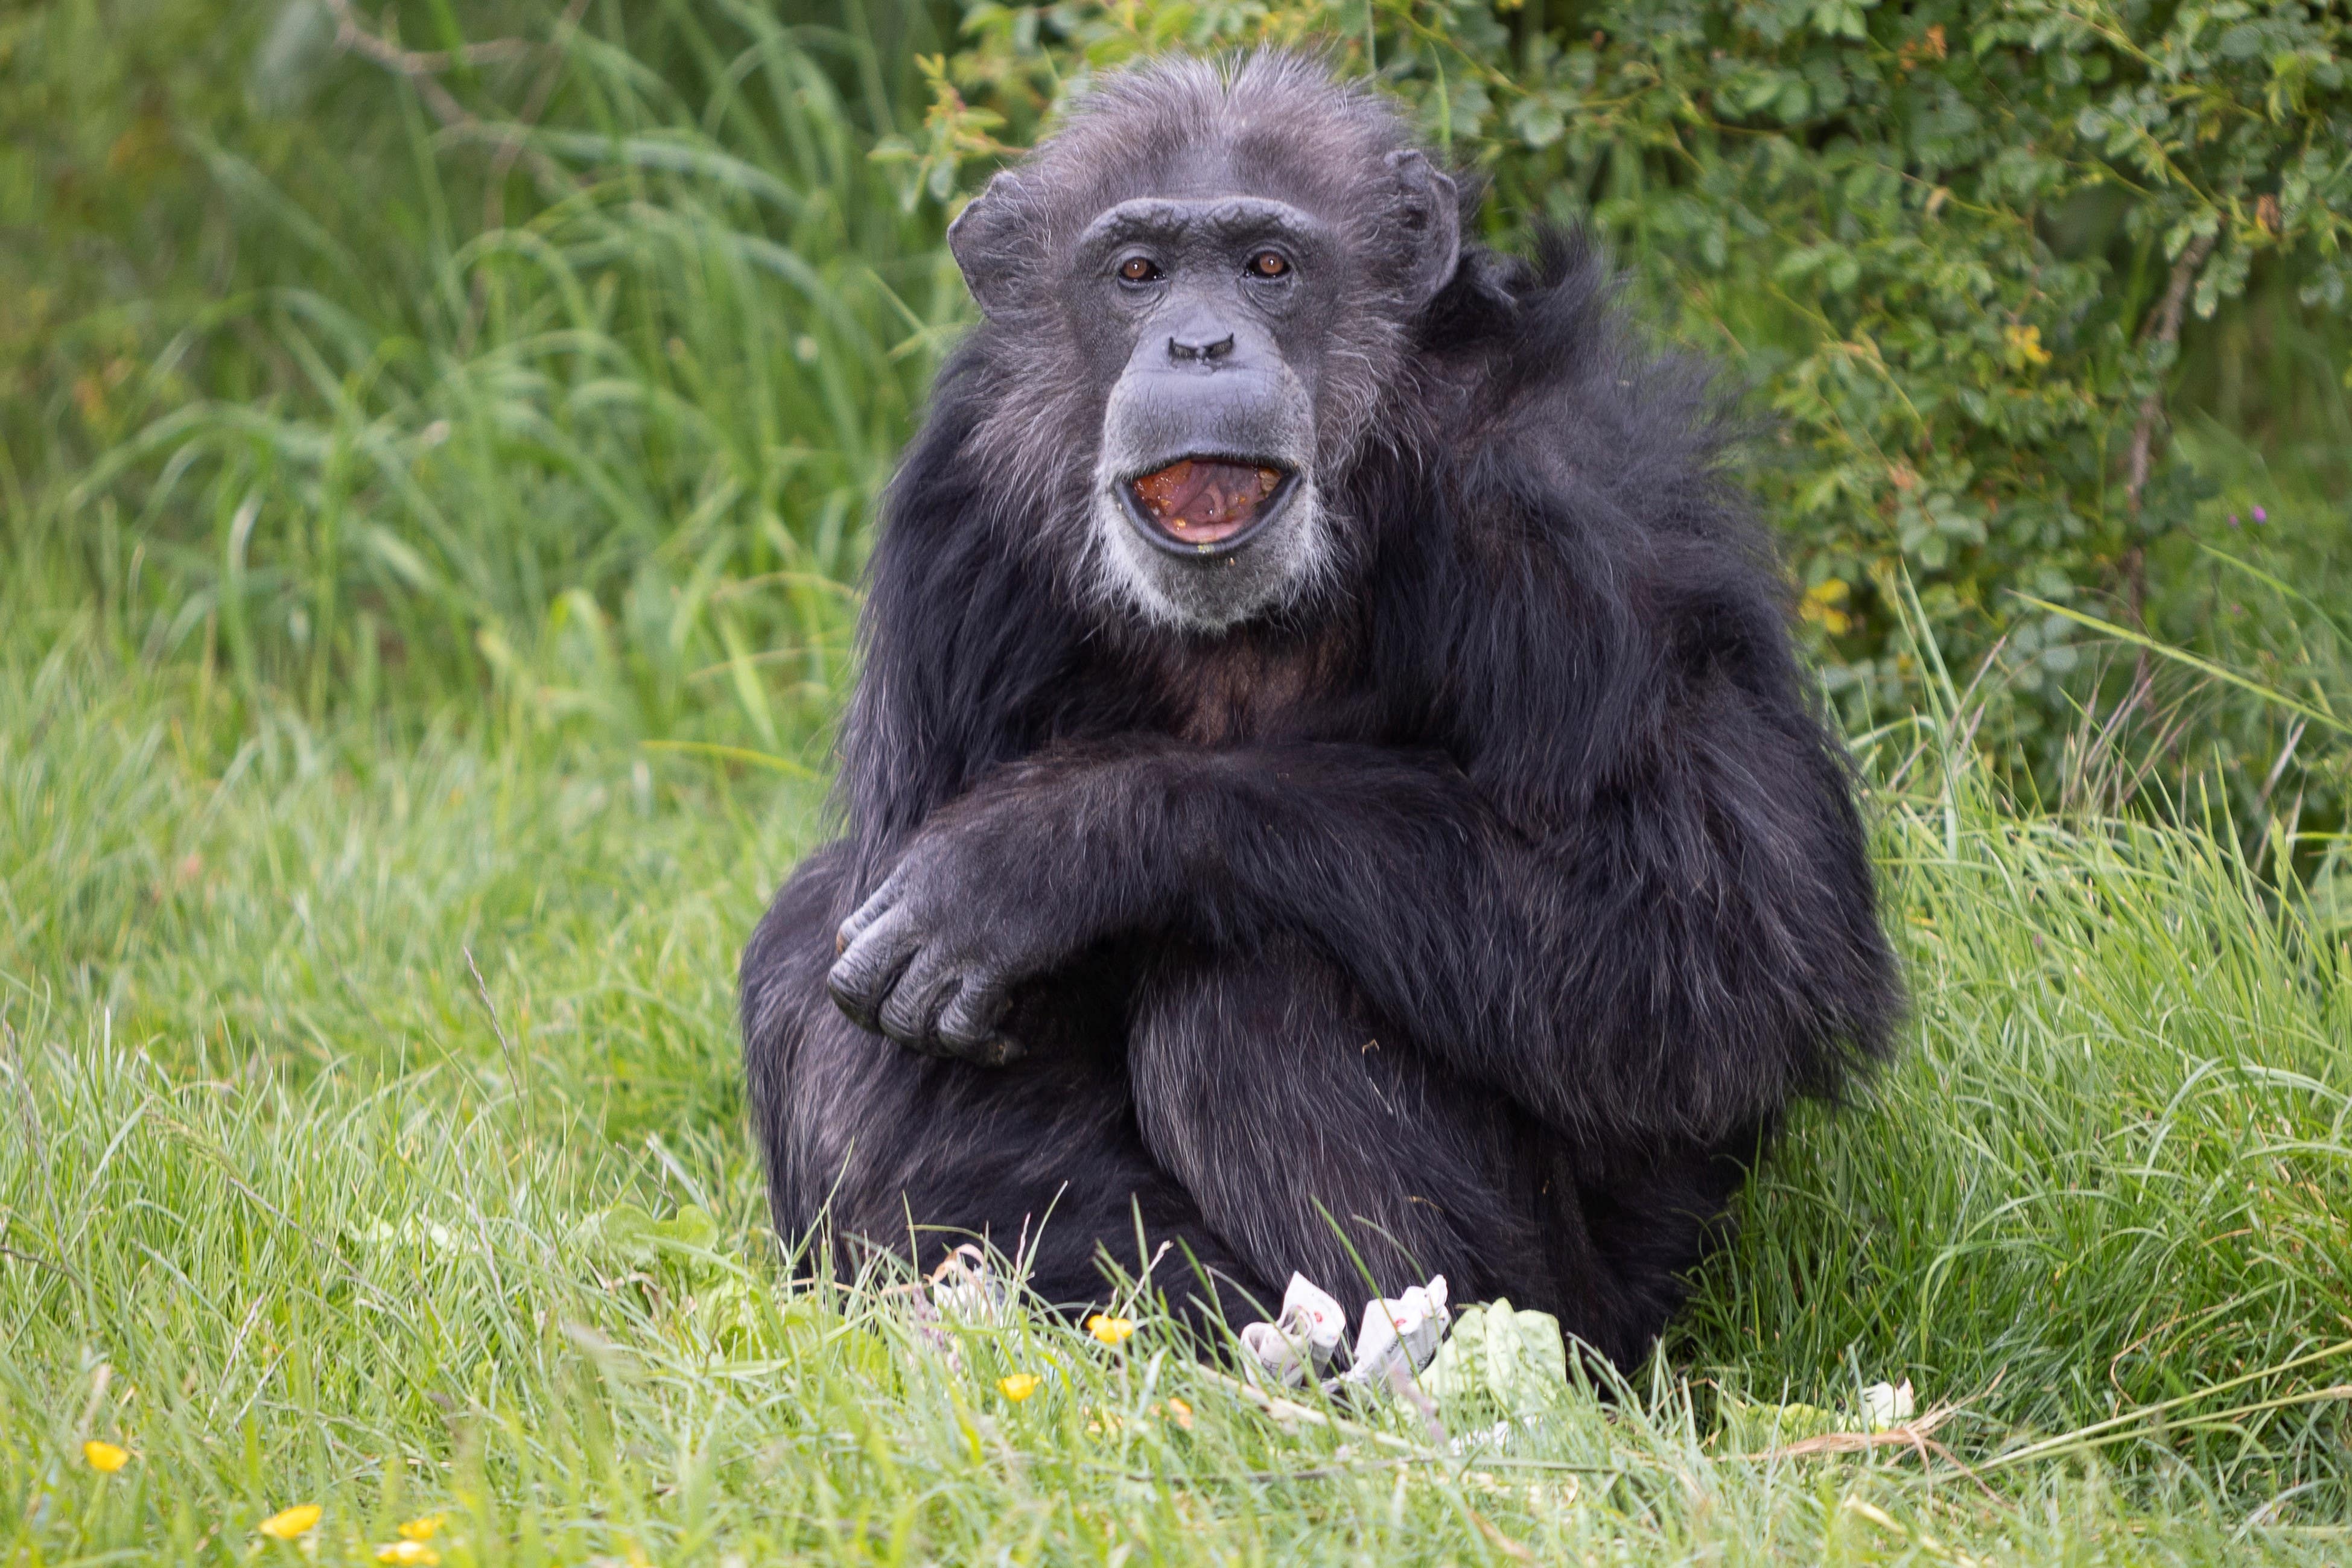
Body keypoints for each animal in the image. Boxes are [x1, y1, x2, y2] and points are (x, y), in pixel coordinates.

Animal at [743, 49, 1900, 1373]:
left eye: (1267, 265)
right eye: (1135, 272)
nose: (1198, 341)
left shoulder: (1575, 500)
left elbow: (1718, 940)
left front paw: (1050, 846)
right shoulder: (955, 522)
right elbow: (927, 1049)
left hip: (1602, 1300)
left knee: (1254, 989)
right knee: (808, 935)